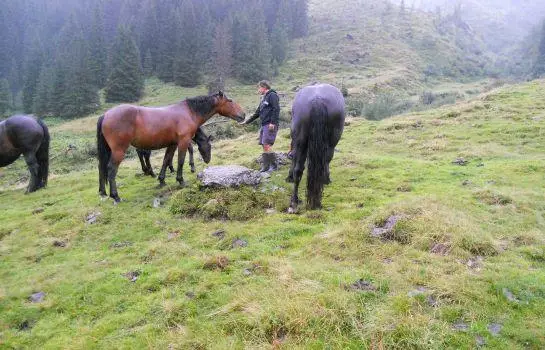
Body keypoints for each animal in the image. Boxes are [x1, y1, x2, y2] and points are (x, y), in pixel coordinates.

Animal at [96, 91, 243, 202]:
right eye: (230, 101)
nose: (243, 115)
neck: (189, 112)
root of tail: (105, 115)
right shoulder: (183, 142)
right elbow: (181, 161)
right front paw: (181, 180)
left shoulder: (172, 144)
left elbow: (166, 160)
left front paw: (162, 180)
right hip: (119, 150)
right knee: (111, 169)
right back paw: (115, 196)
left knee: (101, 167)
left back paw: (103, 192)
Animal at [284, 83, 344, 212]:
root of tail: (317, 99)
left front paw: (289, 176)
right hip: (332, 140)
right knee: (327, 159)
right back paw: (325, 179)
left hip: (301, 142)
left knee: (298, 169)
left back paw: (294, 201)